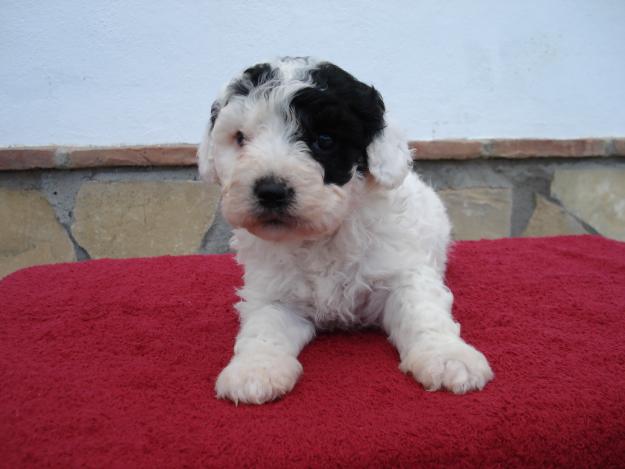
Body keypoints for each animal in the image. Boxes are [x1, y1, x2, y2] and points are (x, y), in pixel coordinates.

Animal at [199, 57, 492, 402]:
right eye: (241, 138)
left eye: (324, 140)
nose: (270, 191)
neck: (324, 235)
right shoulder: (271, 291)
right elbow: (263, 325)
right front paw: (255, 368)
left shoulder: (403, 271)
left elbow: (423, 311)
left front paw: (448, 357)